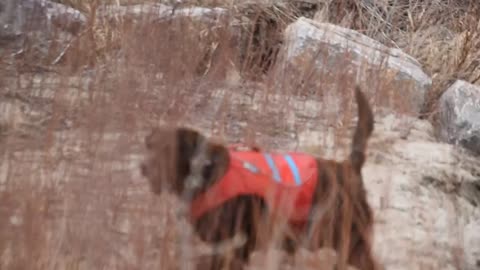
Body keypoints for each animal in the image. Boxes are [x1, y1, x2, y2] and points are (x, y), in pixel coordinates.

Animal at [141, 86, 380, 270]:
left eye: (168, 152)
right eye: (150, 146)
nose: (143, 167)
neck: (208, 175)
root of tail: (348, 167)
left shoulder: (234, 246)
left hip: (348, 239)